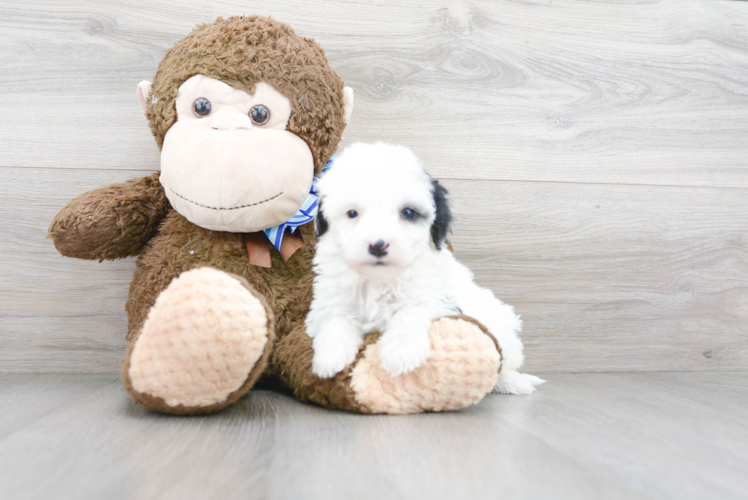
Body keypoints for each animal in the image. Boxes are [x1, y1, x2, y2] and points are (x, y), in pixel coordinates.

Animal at [304, 142, 544, 394]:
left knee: (502, 363)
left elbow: (411, 310)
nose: (378, 245)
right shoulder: (328, 302)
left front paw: (400, 352)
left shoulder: (440, 301)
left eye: (408, 213)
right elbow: (336, 319)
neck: (380, 279)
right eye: (352, 213)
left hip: (501, 327)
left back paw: (515, 382)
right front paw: (330, 357)